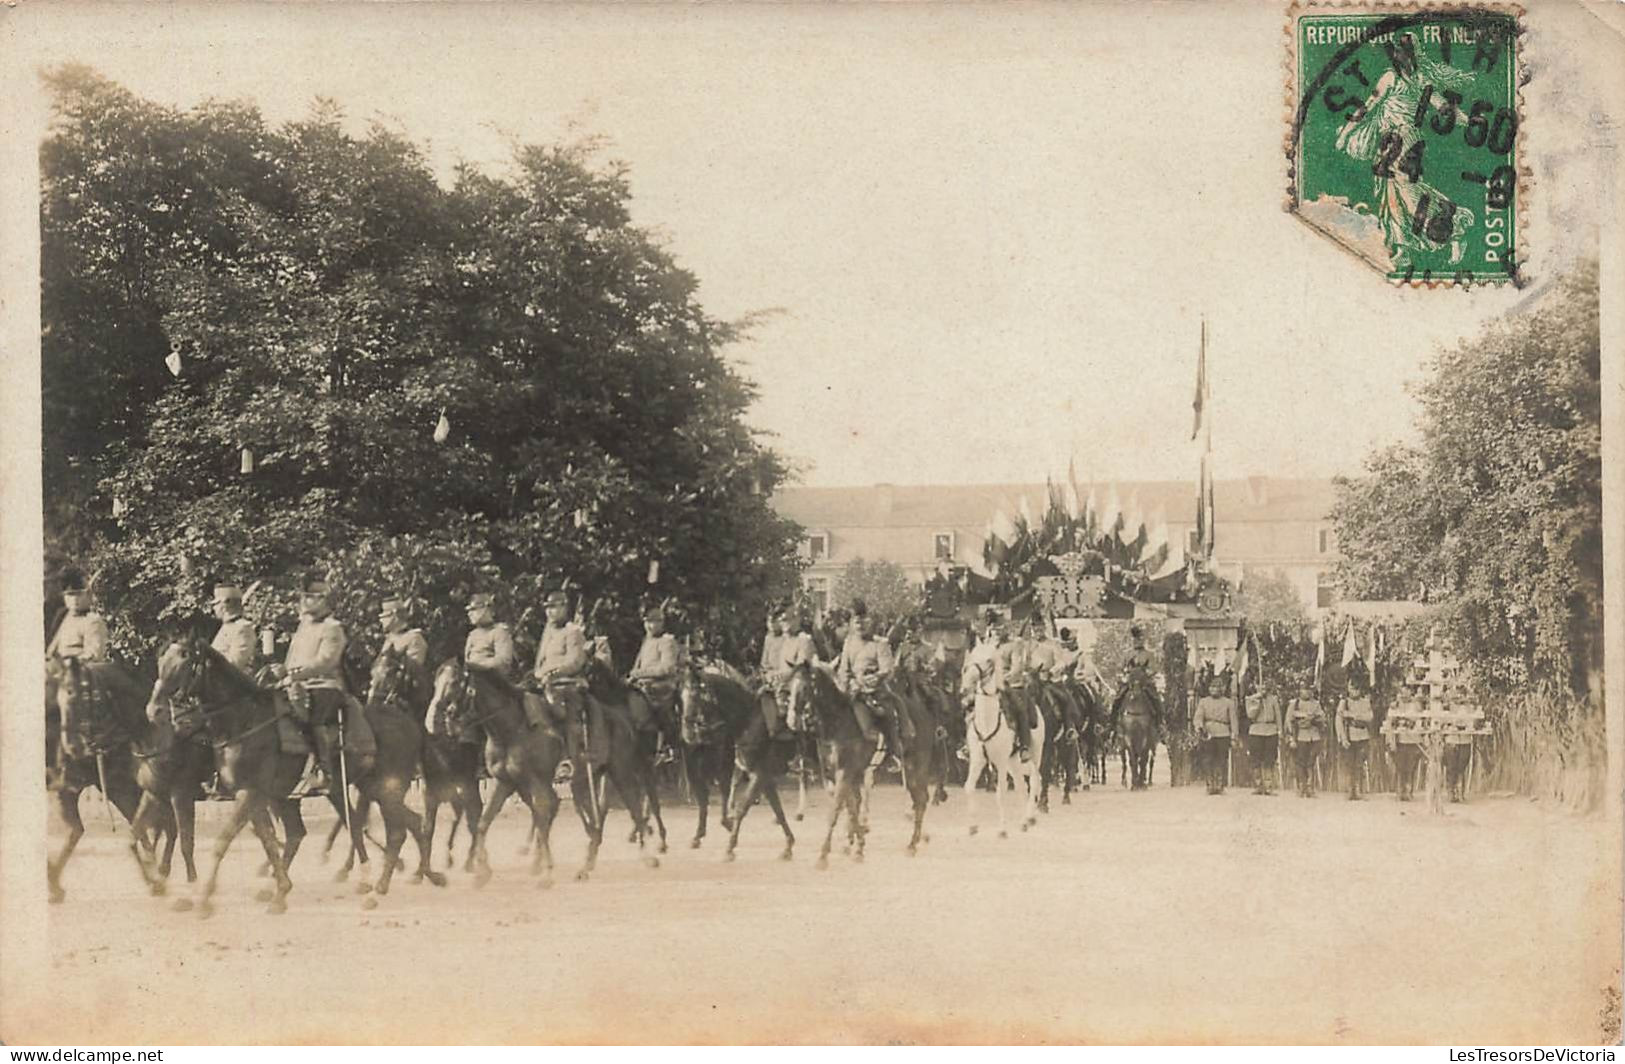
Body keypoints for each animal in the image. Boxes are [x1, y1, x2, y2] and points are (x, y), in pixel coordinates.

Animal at [149, 640, 310, 916]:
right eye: (160, 662)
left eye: (184, 665)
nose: (154, 711)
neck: (242, 723)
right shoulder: (246, 793)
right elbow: (266, 838)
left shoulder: (237, 793)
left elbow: (214, 839)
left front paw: (202, 896)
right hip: (284, 797)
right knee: (295, 833)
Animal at [955, 656, 1046, 838]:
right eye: (967, 664)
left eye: (987, 662)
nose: (964, 689)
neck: (987, 721)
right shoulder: (978, 760)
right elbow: (969, 787)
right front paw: (973, 826)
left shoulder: (1001, 762)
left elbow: (1001, 793)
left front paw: (1002, 830)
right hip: (1013, 762)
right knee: (1021, 786)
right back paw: (1024, 821)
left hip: (1034, 755)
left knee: (1034, 780)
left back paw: (1029, 817)